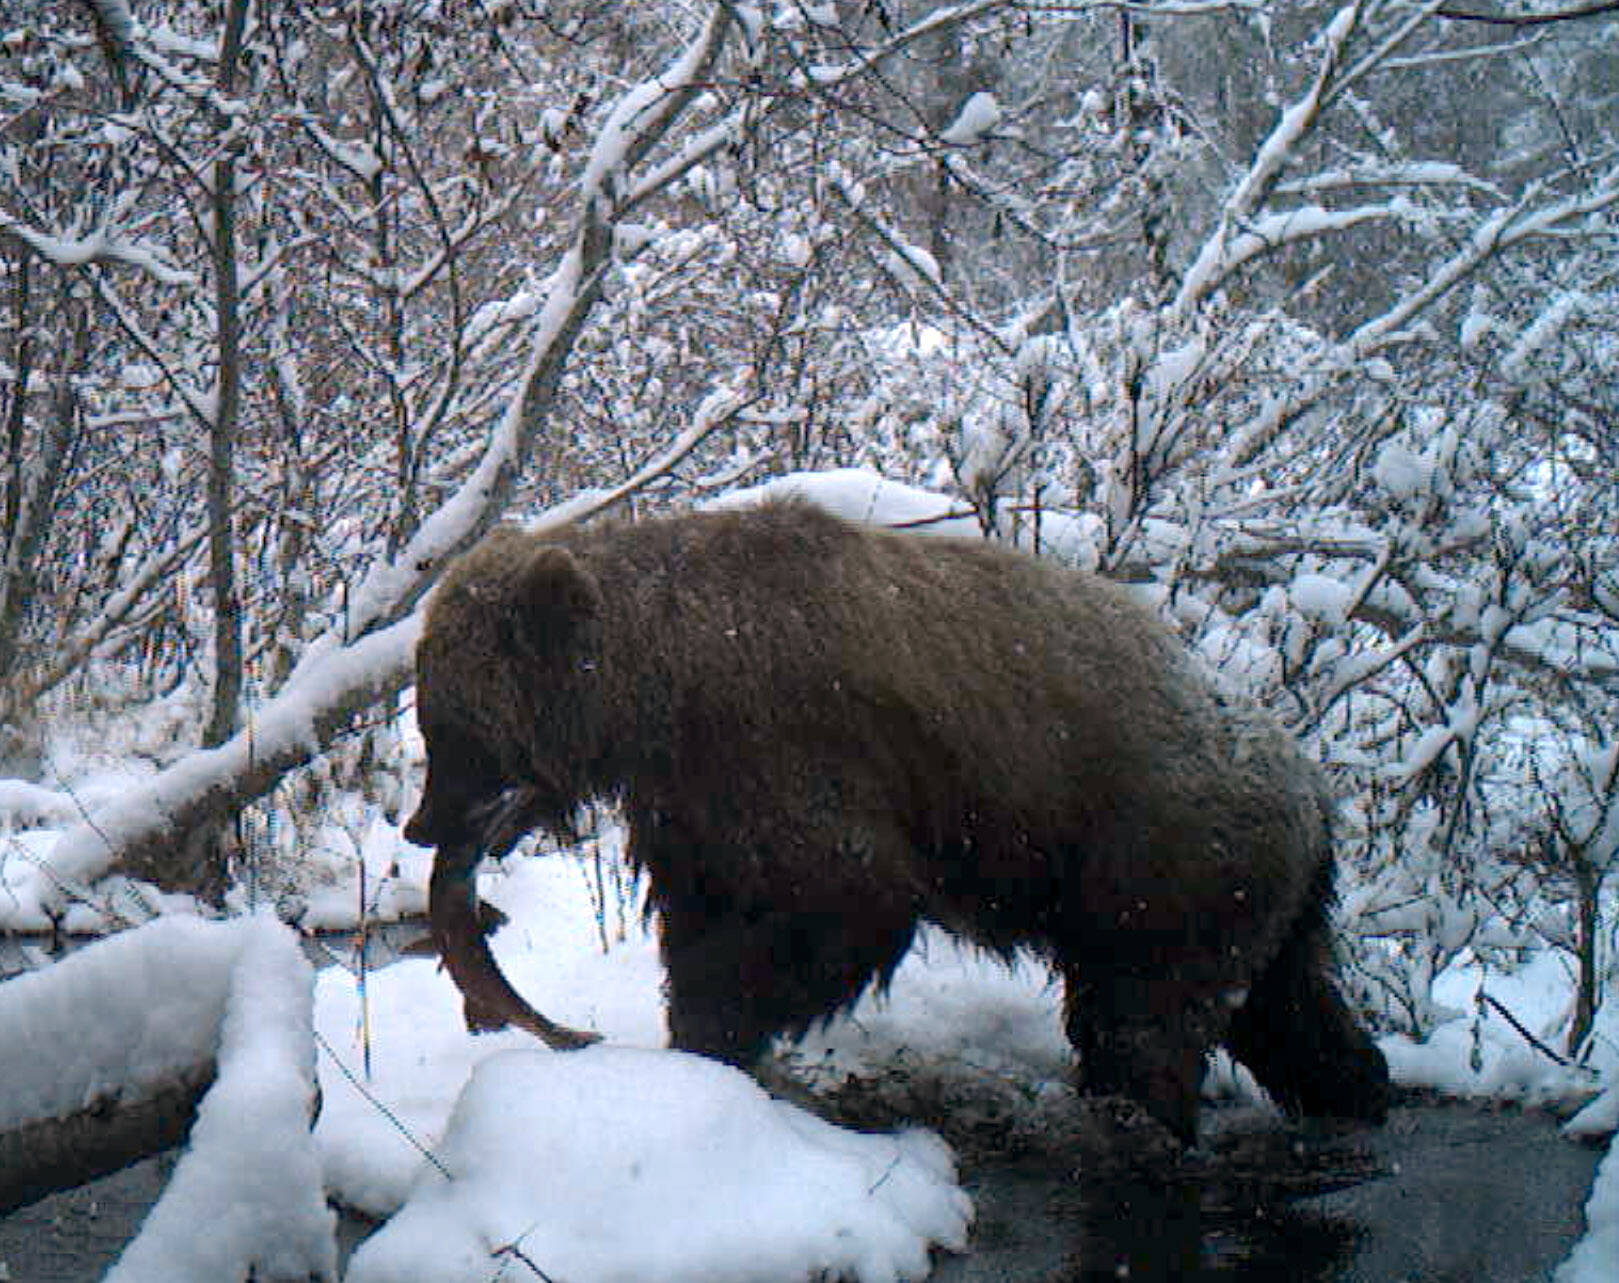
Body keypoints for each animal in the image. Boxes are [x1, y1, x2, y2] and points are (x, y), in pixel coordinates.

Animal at [404, 502, 1392, 1140]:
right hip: (1256, 894)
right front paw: (695, 1039)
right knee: (1288, 1009)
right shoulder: (700, 804)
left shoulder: (794, 751)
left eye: (448, 722)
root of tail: (1315, 788)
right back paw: (1357, 1089)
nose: (421, 826)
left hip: (1165, 860)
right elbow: (706, 914)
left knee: (1141, 1021)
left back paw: (1145, 1118)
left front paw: (718, 1034)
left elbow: (836, 902)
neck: (661, 688)